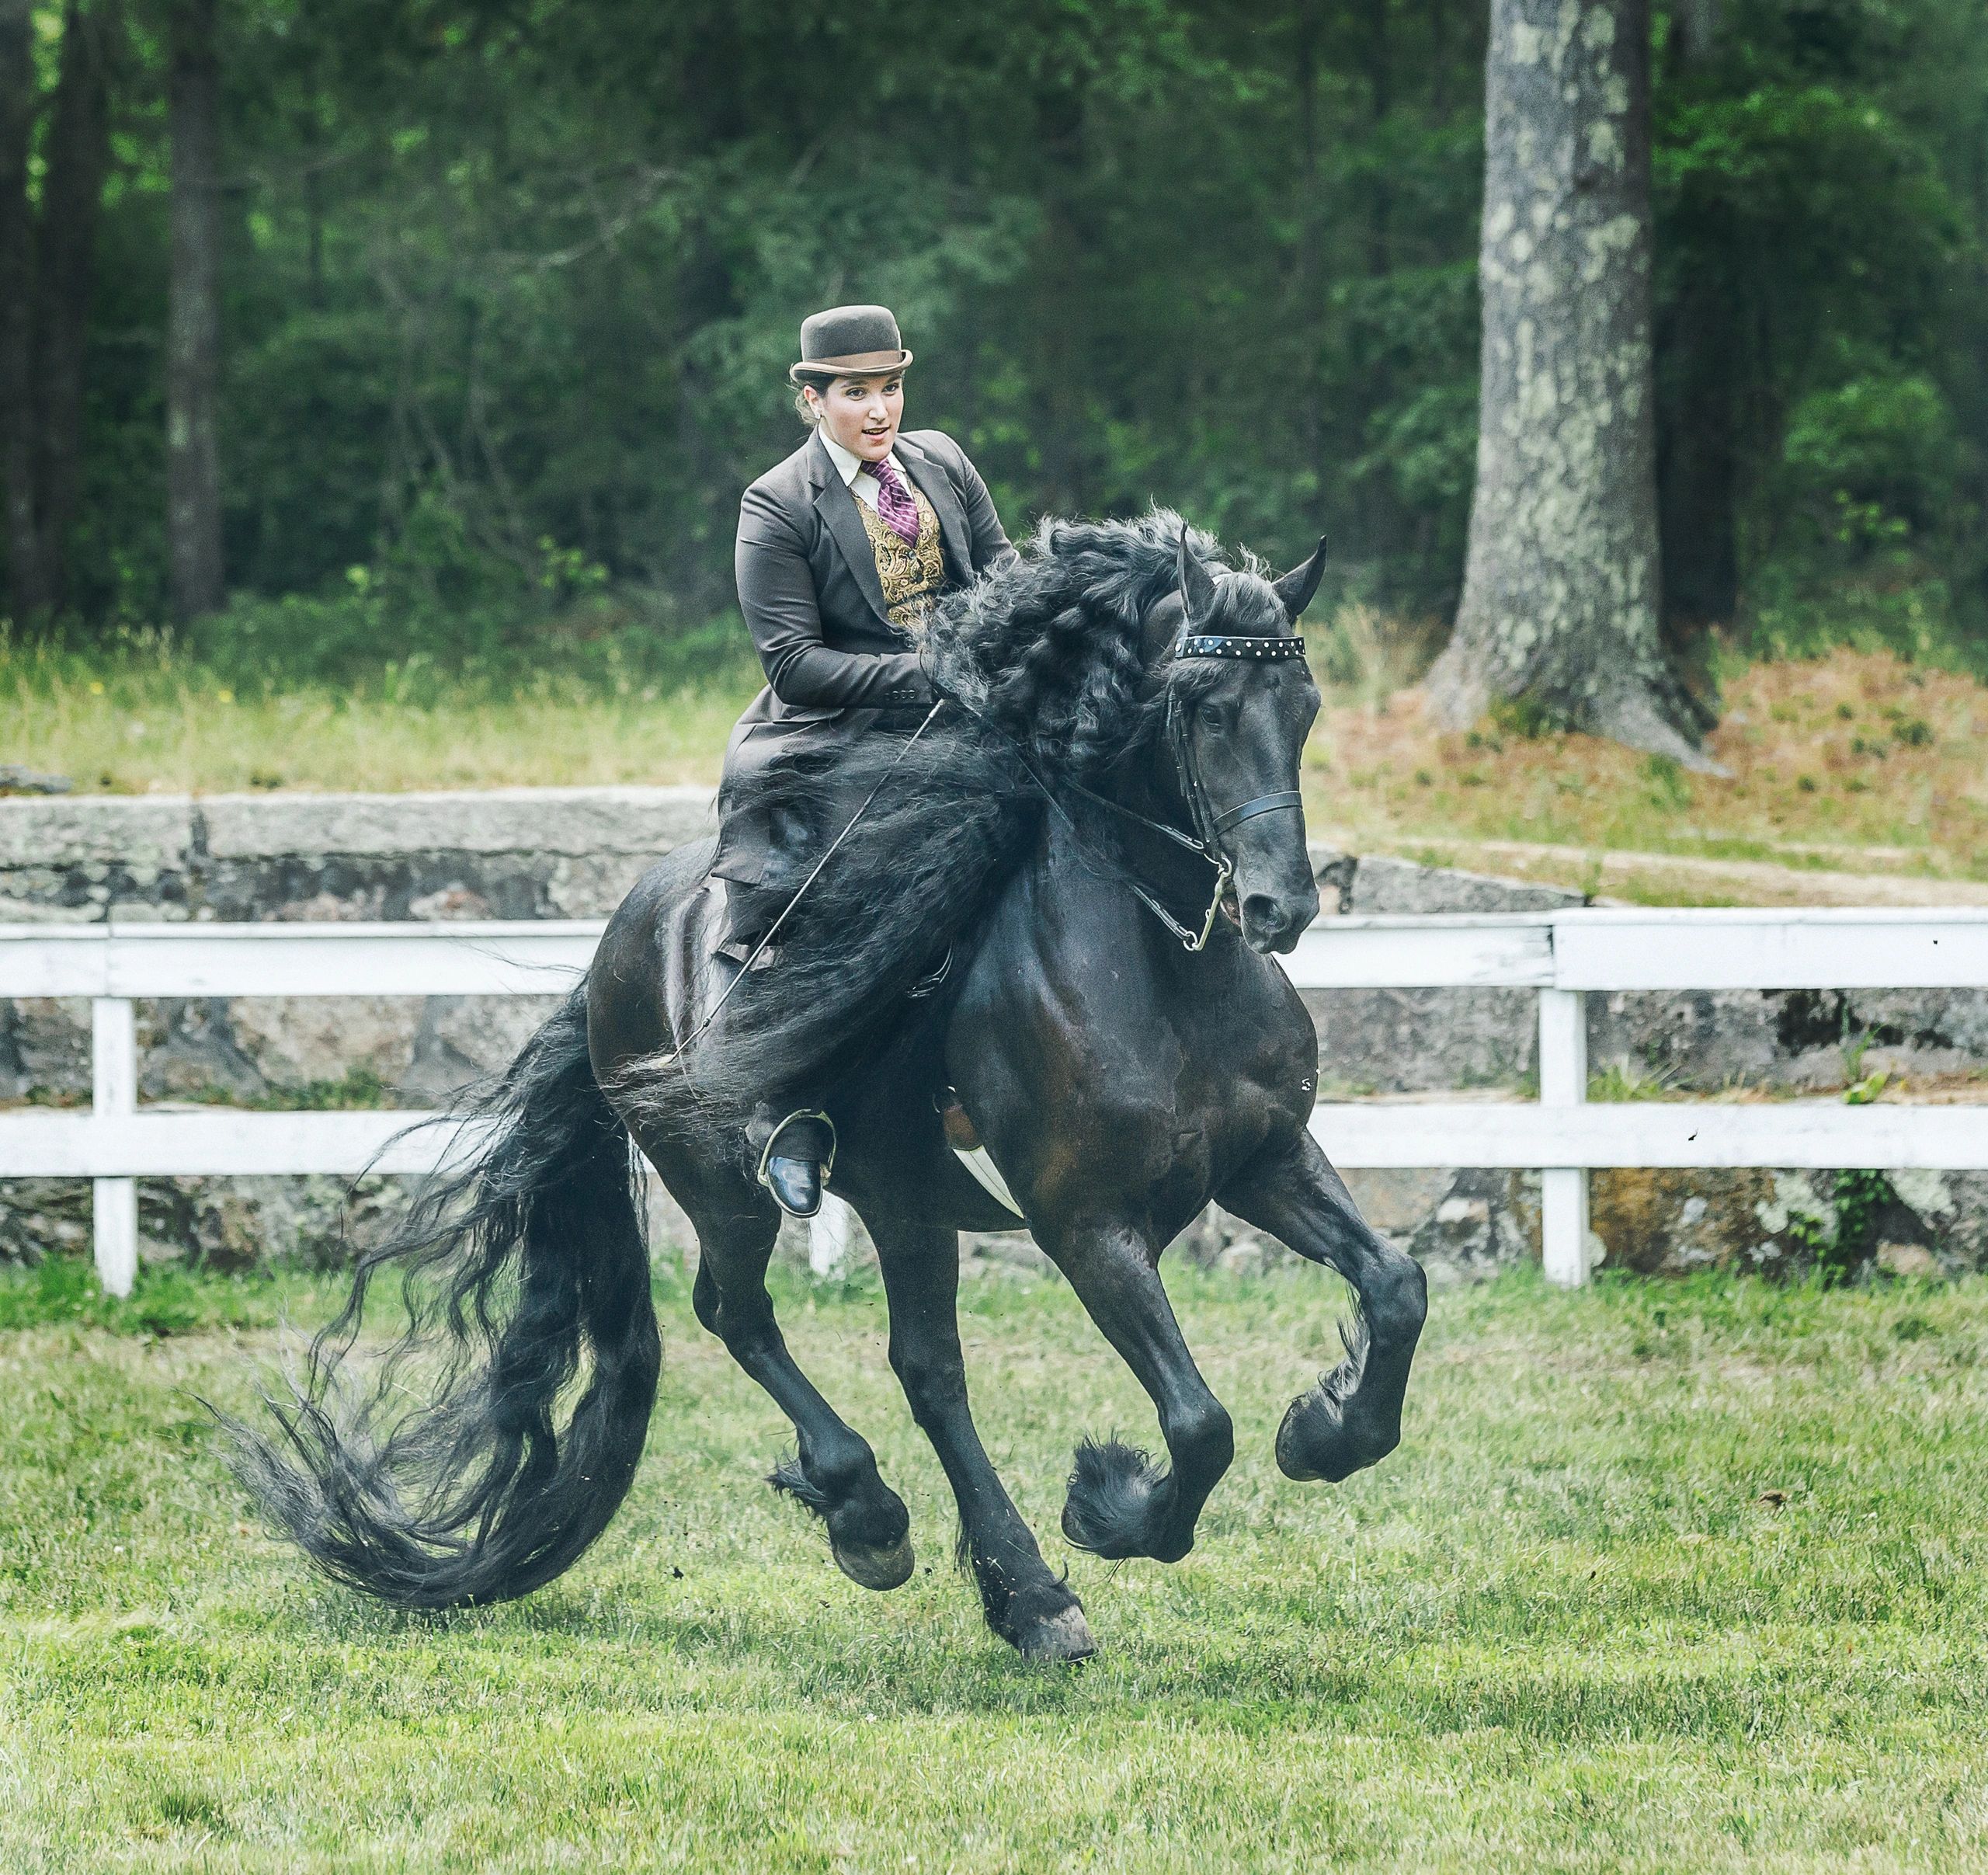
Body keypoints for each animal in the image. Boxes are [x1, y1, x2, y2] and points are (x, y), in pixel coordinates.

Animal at [231, 511, 1429, 1663]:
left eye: (1305, 704)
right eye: (1202, 704)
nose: (1282, 908)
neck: (1161, 956)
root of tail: (623, 936)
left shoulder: (1267, 1158)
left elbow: (1396, 1286)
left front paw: (1322, 1431)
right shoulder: (1085, 1222)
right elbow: (1197, 1422)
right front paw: (1109, 1502)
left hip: (904, 1194)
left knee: (925, 1368)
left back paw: (1022, 1594)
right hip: (729, 1183)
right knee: (741, 1313)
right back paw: (876, 1517)